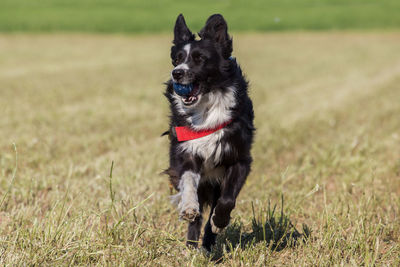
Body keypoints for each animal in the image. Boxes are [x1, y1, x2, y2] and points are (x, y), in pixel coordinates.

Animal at [162, 13, 253, 252]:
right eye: (177, 59)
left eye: (200, 58)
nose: (176, 73)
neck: (206, 108)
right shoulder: (185, 152)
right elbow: (188, 181)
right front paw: (189, 207)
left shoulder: (239, 158)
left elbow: (227, 200)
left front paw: (220, 221)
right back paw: (192, 246)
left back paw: (210, 240)